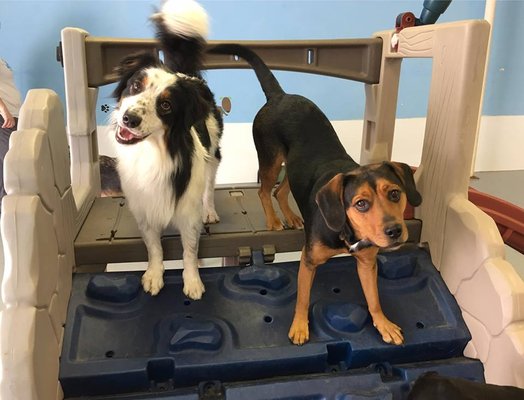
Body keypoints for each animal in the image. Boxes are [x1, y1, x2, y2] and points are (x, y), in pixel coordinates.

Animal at [111, 0, 222, 298]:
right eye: (135, 85)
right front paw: (154, 274)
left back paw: (210, 210)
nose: (129, 119)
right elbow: (154, 246)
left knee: (209, 183)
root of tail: (187, 74)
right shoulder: (145, 209)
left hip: (213, 153)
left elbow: (189, 249)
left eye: (166, 105)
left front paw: (192, 281)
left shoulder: (188, 212)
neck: (154, 152)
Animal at [209, 43, 422, 344]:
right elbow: (302, 297)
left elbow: (374, 299)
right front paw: (299, 326)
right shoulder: (308, 261)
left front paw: (383, 323)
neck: (346, 232)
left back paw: (291, 217)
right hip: (271, 158)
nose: (394, 231)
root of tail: (280, 95)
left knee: (281, 191)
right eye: (361, 204)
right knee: (265, 190)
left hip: (292, 165)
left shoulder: (367, 263)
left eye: (394, 194)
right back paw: (274, 220)